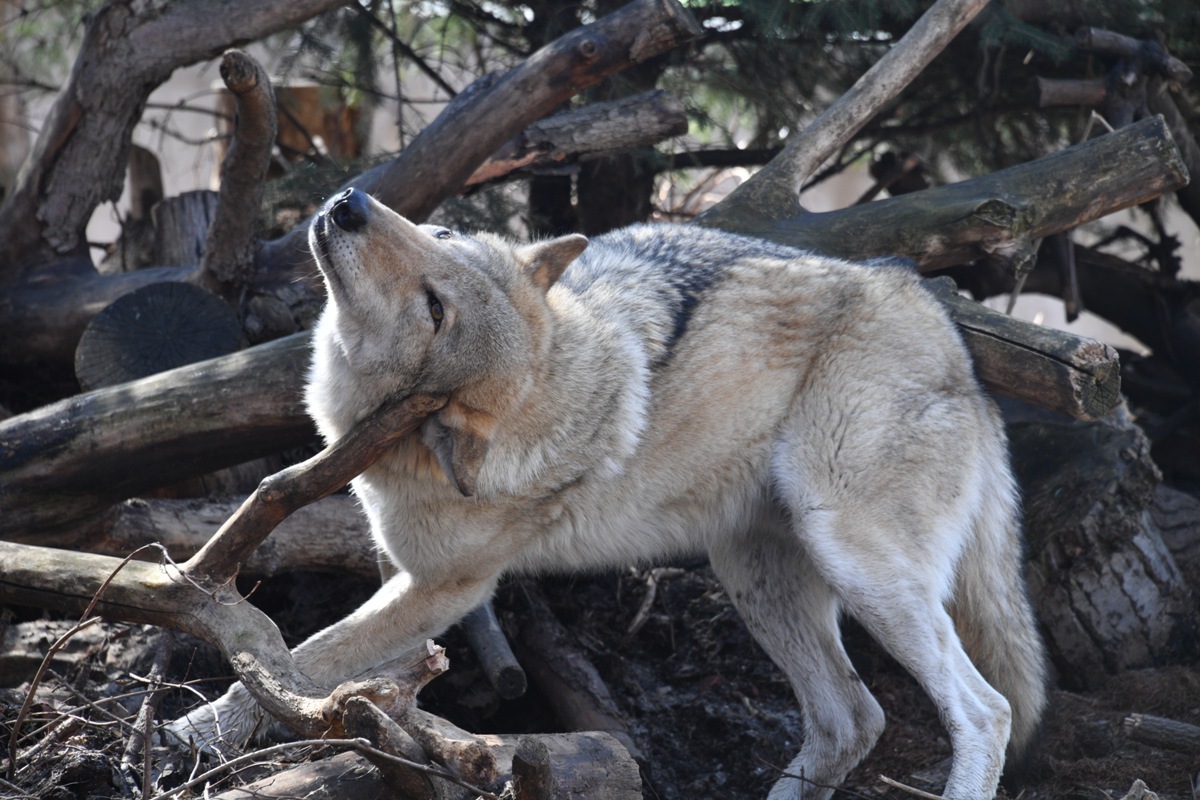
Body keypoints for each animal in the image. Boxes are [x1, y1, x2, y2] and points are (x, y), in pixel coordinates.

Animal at [174, 188, 1046, 800]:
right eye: (442, 241)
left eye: (435, 306)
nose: (349, 203)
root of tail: (945, 326)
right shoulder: (405, 582)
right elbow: (333, 665)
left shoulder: (442, 590)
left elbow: (298, 657)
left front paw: (194, 733)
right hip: (756, 577)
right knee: (852, 720)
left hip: (853, 558)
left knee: (986, 710)